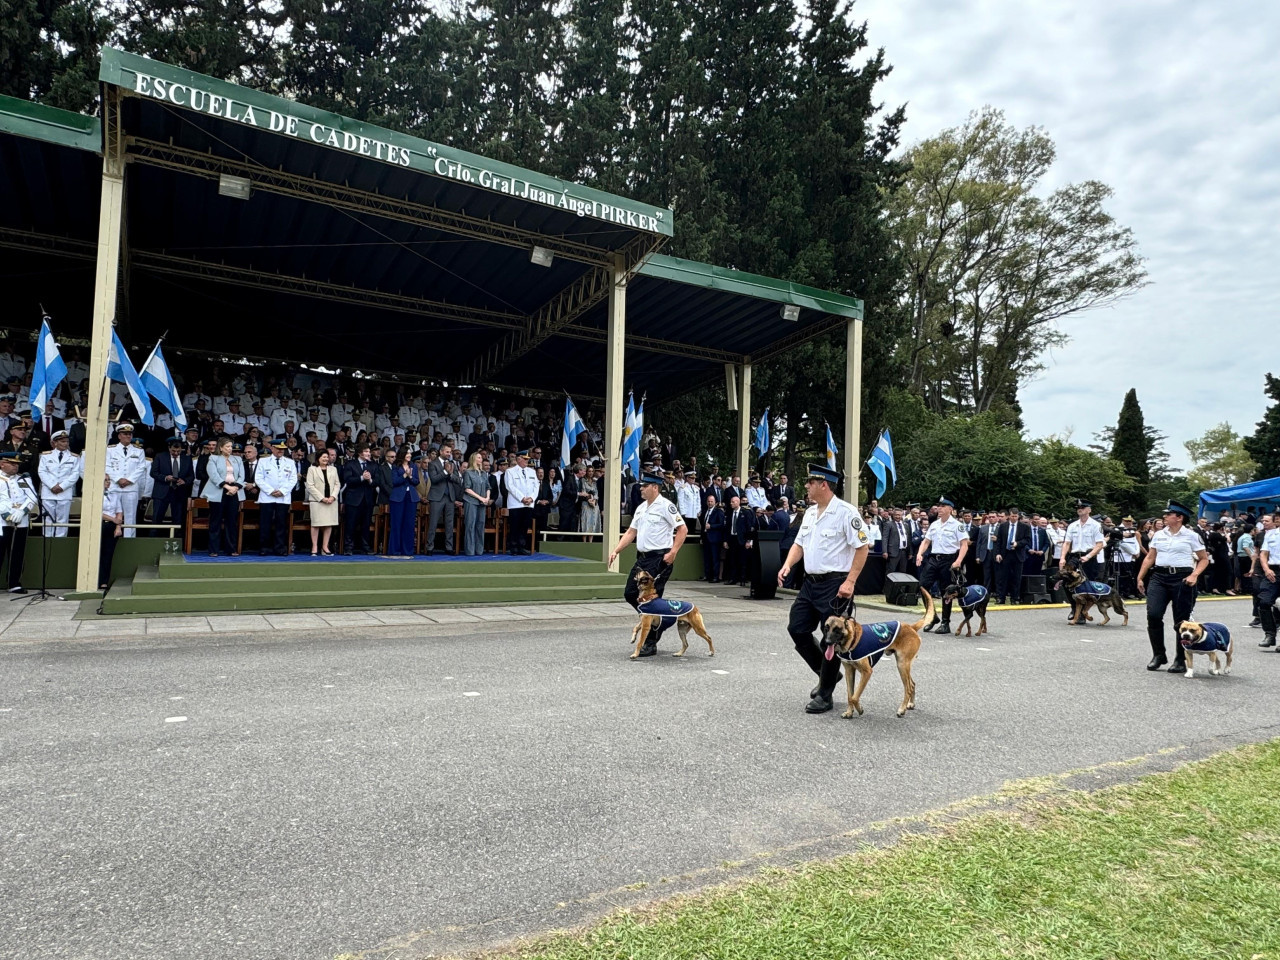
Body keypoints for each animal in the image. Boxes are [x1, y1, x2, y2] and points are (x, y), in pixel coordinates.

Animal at [768, 465, 870, 716]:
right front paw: (784, 571)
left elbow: (861, 548)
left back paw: (824, 693)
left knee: (827, 650)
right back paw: (833, 681)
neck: (824, 506)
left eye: (813, 481)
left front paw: (823, 698)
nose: (806, 487)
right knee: (805, 637)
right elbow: (801, 634)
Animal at [921, 499, 967, 634]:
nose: (938, 509)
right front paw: (933, 620)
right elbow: (926, 541)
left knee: (944, 595)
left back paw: (944, 625)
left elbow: (963, 543)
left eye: (943, 506)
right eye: (939, 506)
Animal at [1141, 504, 1208, 675]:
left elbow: (1203, 558)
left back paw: (1178, 664)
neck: (1173, 531)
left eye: (1170, 512)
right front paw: (1157, 659)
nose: (1164, 517)